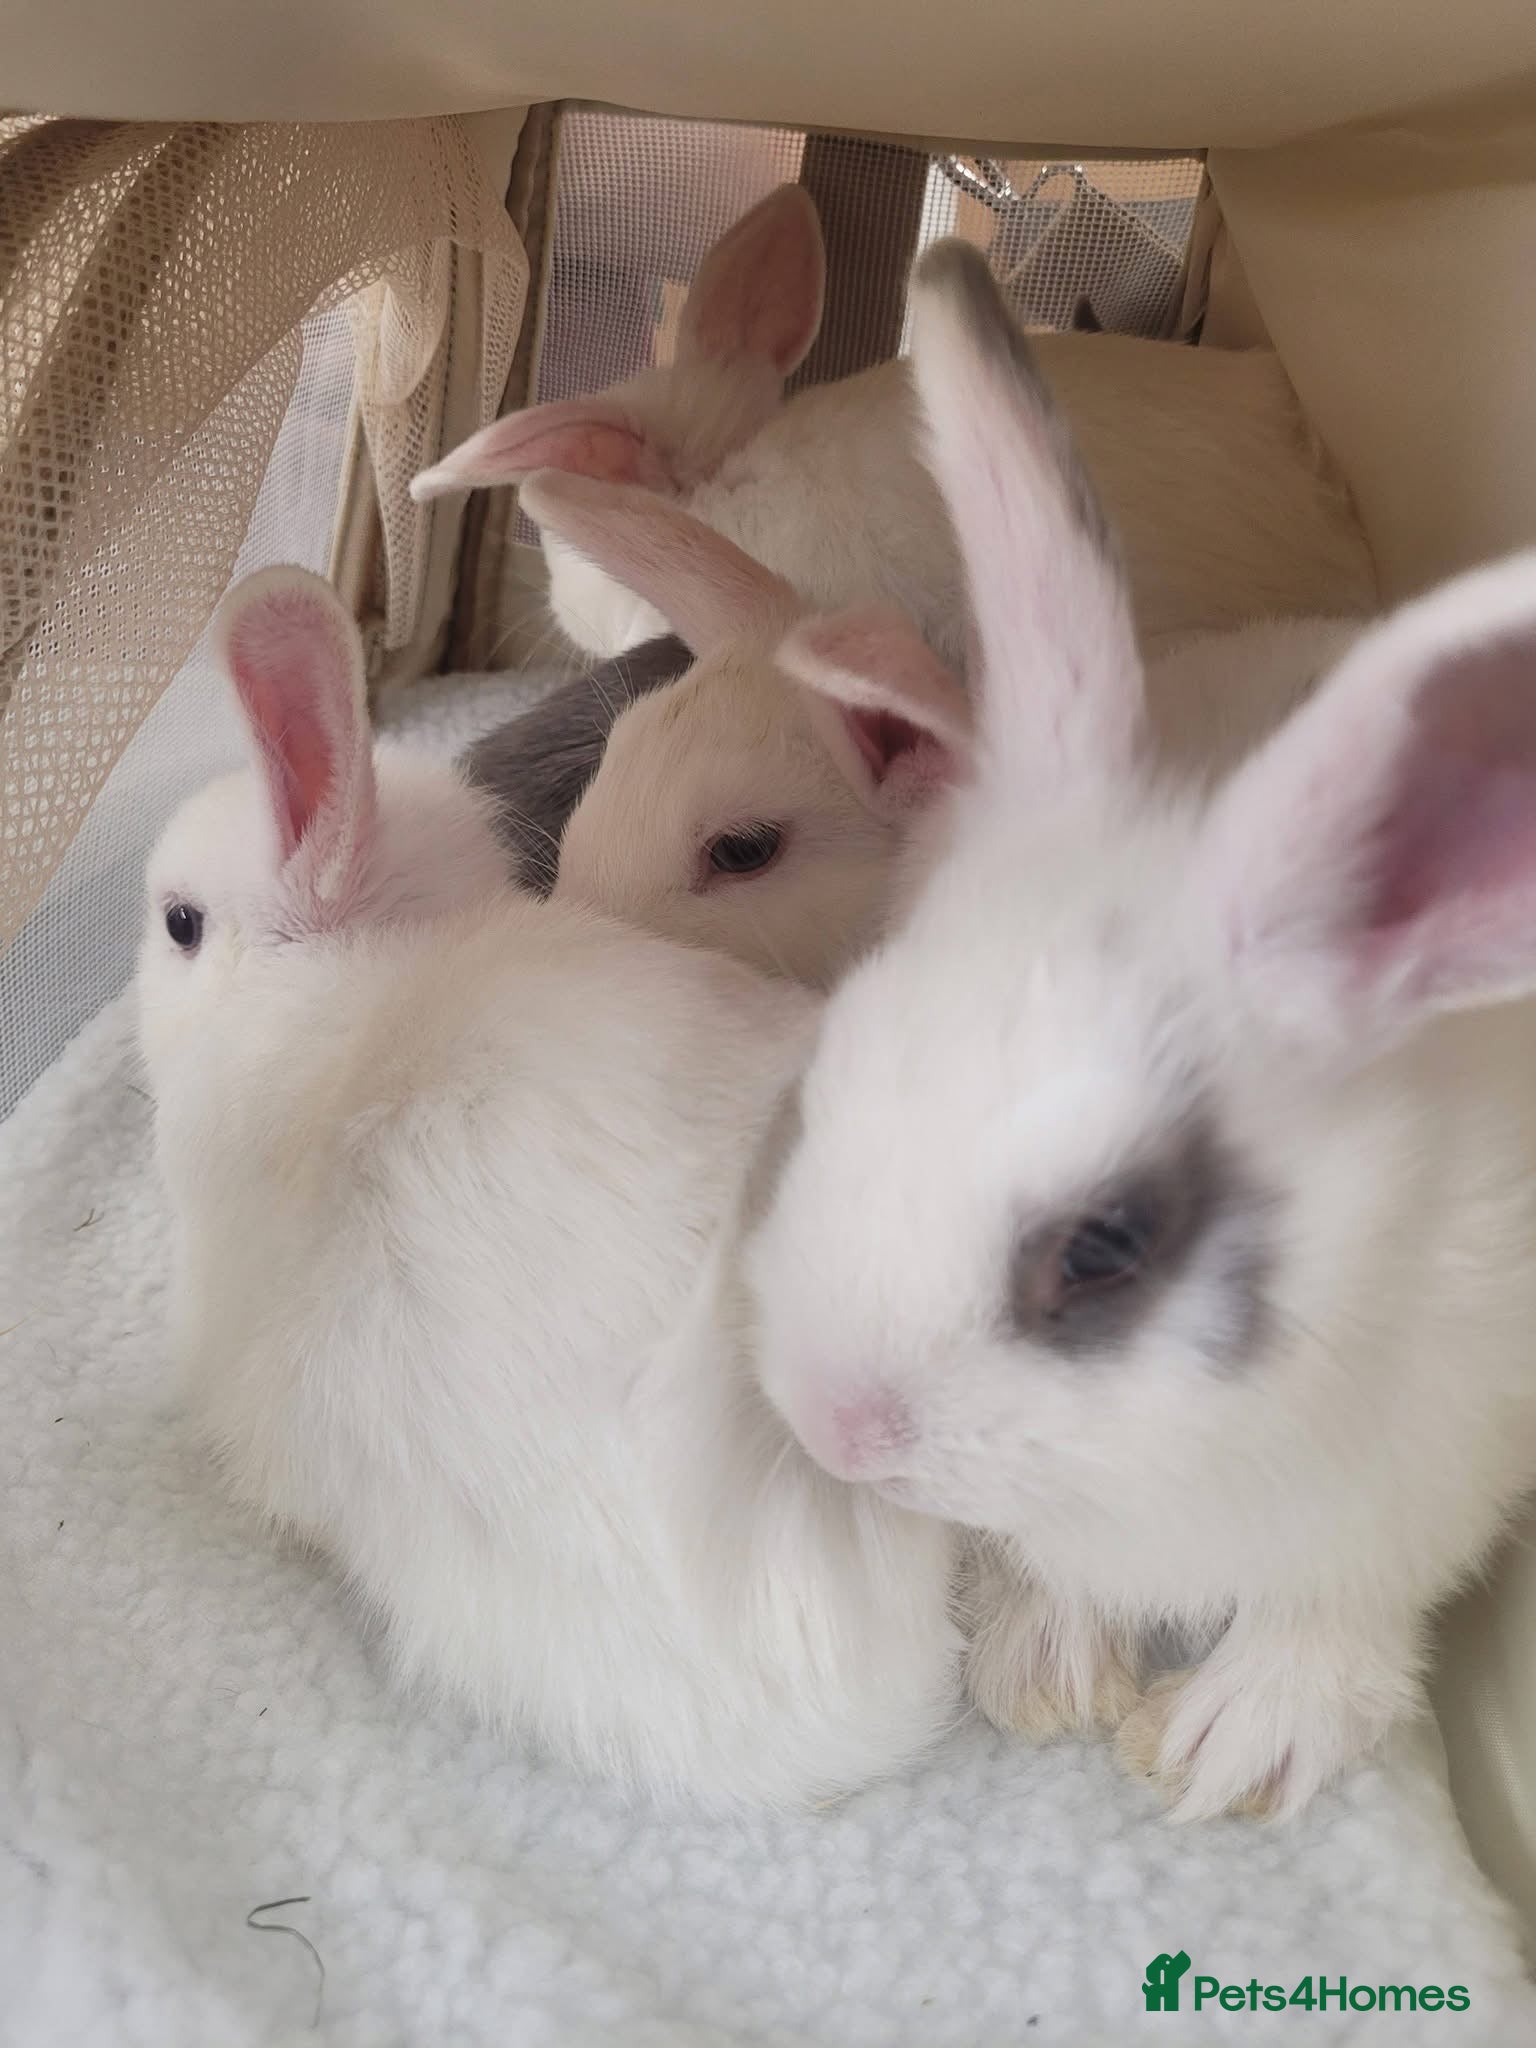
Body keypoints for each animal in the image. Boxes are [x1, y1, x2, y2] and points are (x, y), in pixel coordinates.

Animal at [741, 239, 1536, 1824]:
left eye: (1104, 1249)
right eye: (831, 1074)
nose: (832, 1423)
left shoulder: (1431, 1476)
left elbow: (1336, 1615)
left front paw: (1239, 1744)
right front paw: (1042, 1666)